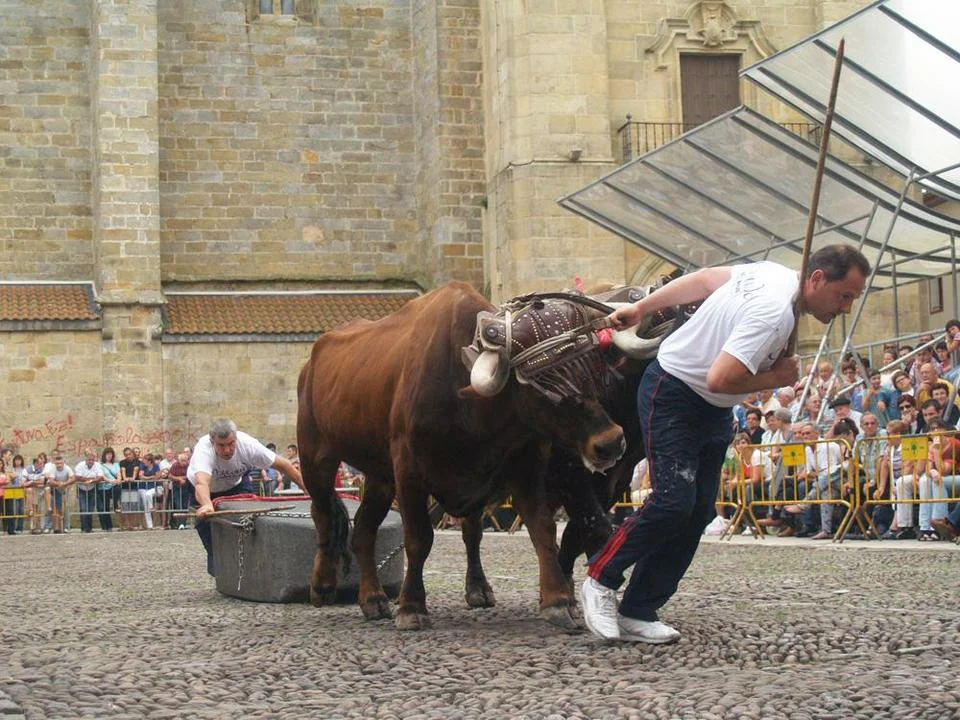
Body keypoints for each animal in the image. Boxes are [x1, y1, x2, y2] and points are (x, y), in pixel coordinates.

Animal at [296, 281, 658, 630]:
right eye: (544, 386)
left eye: (593, 370)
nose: (610, 442)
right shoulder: (409, 472)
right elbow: (418, 539)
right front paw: (411, 606)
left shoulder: (528, 468)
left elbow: (545, 531)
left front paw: (558, 601)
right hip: (316, 457)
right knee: (323, 511)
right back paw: (323, 585)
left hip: (379, 476)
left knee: (365, 529)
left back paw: (376, 598)